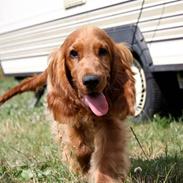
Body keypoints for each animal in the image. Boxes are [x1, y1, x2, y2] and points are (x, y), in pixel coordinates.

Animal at [0, 26, 135, 183]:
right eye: (73, 53)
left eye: (103, 51)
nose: (91, 81)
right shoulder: (69, 119)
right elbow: (80, 147)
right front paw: (83, 166)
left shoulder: (110, 121)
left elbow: (106, 154)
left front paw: (103, 177)